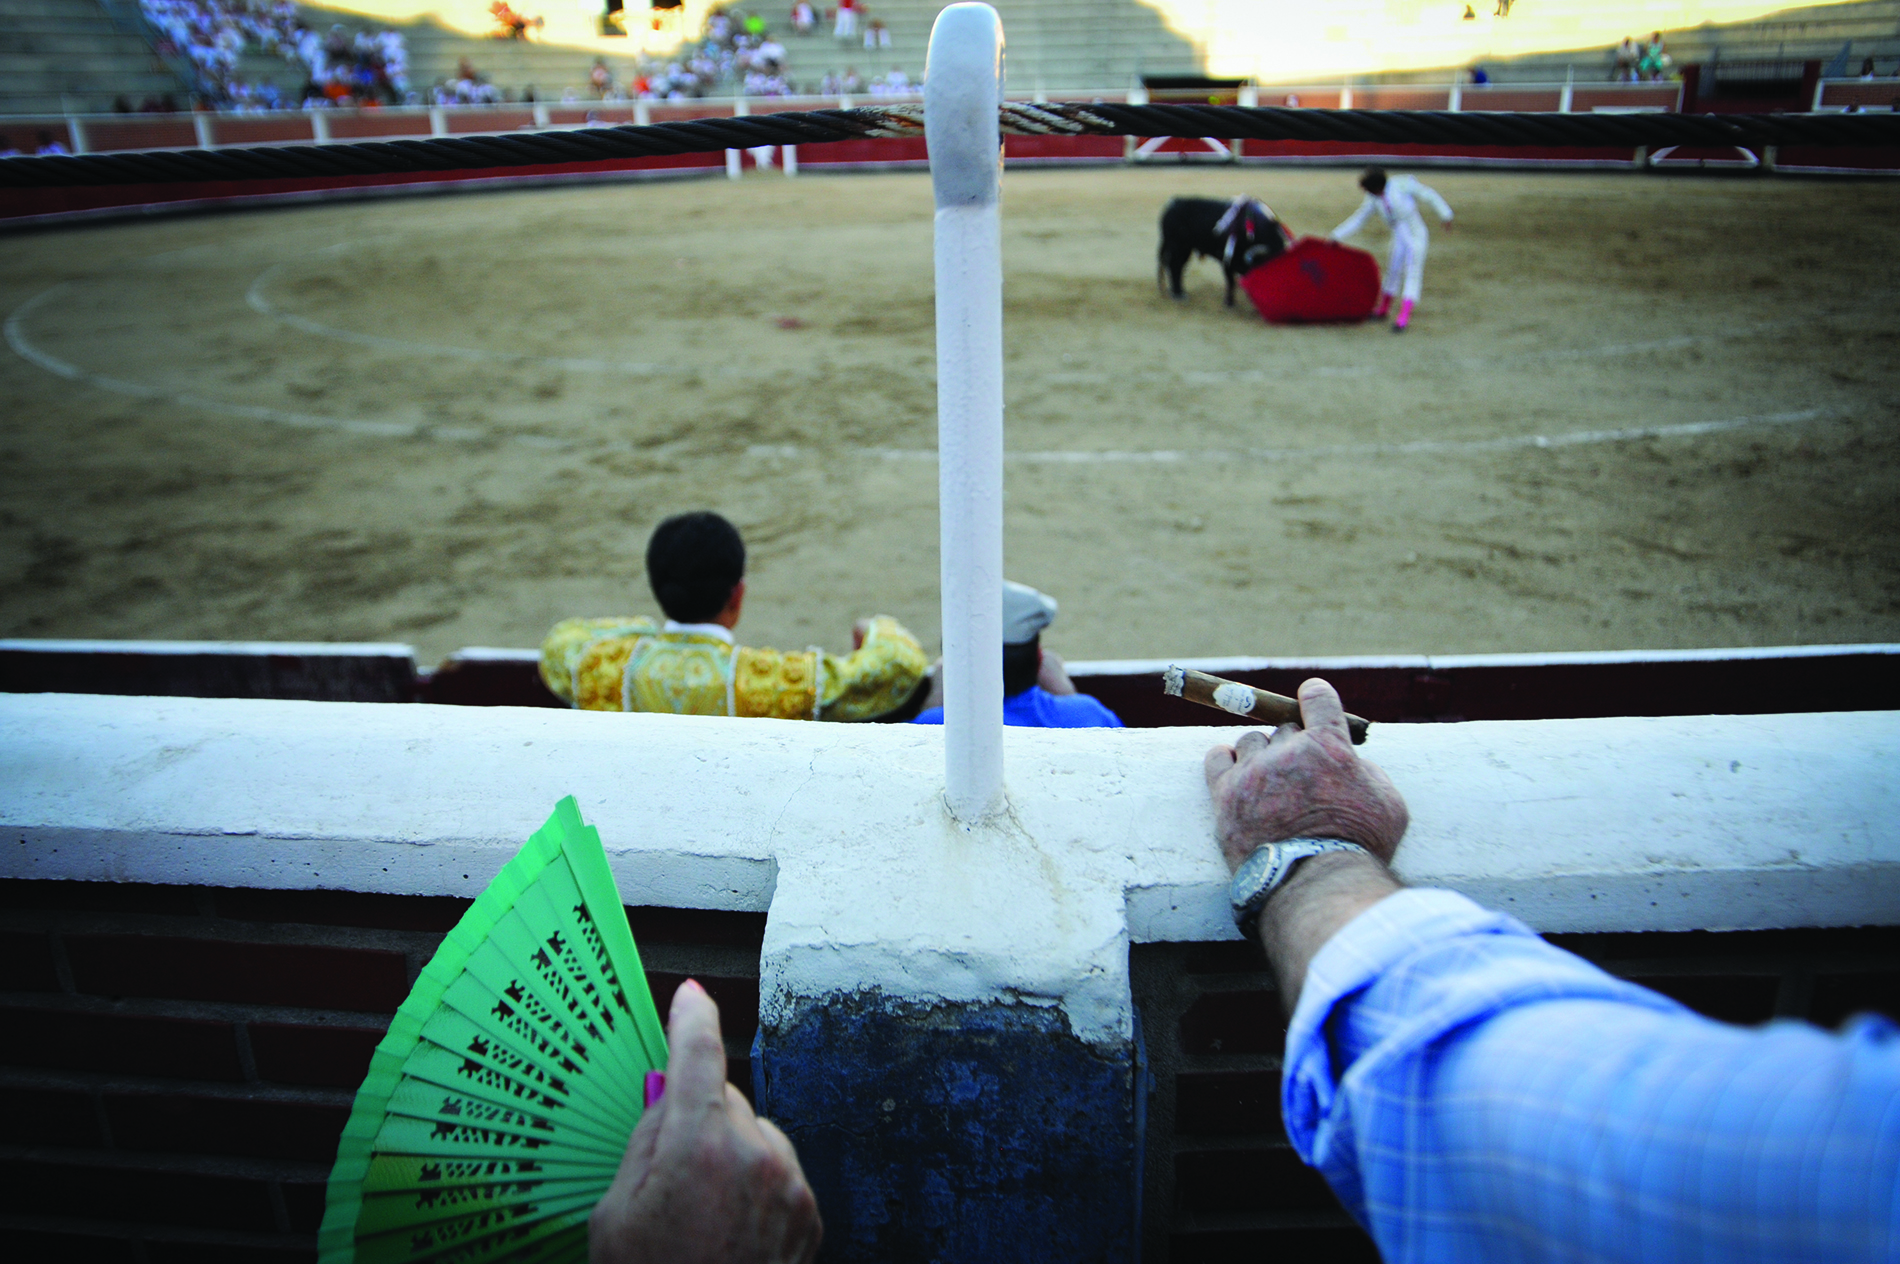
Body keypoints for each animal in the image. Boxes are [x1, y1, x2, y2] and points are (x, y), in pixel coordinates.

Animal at [1155, 197, 1292, 307]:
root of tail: (1171, 205)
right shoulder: (1227, 260)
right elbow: (1231, 281)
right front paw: (1229, 303)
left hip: (1185, 249)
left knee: (1177, 267)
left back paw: (1177, 292)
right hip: (1178, 247)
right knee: (1175, 267)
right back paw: (1178, 294)